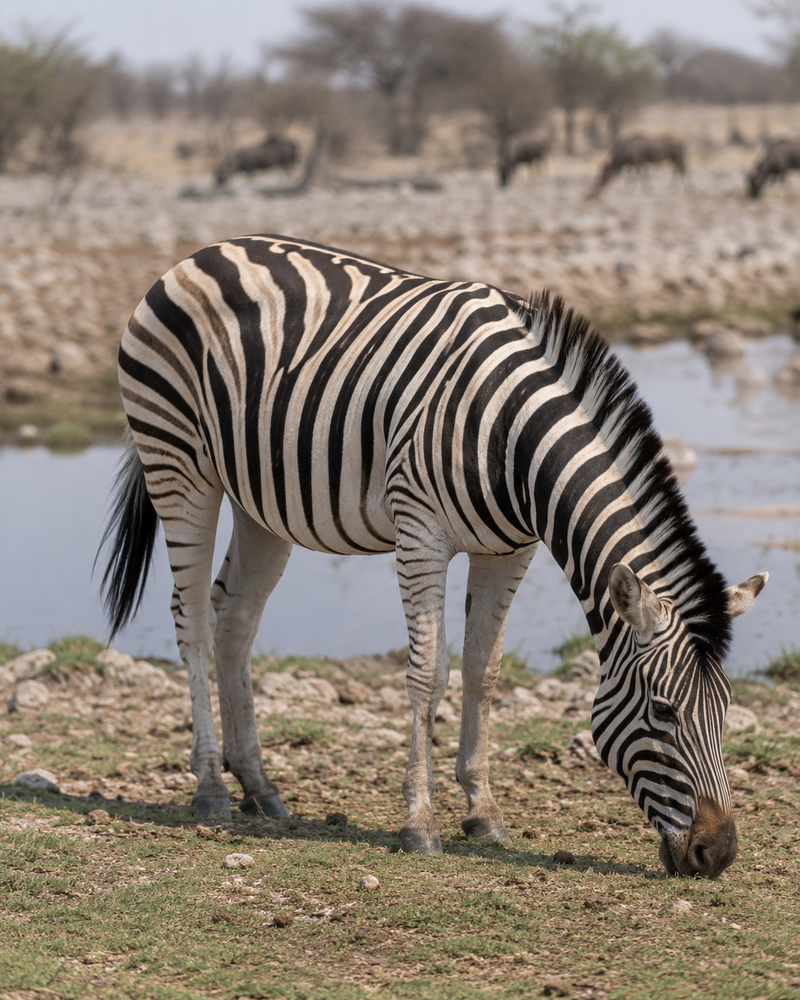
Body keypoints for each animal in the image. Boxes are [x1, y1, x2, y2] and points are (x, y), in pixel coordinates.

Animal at [99, 234, 766, 876]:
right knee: (192, 619)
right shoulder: (421, 534)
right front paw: (420, 822)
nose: (718, 855)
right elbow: (429, 673)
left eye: (727, 709)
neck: (513, 438)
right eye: (664, 712)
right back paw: (211, 786)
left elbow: (482, 669)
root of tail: (203, 252)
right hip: (179, 466)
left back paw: (260, 788)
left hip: (260, 502)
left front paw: (484, 812)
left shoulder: (510, 550)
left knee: (234, 620)